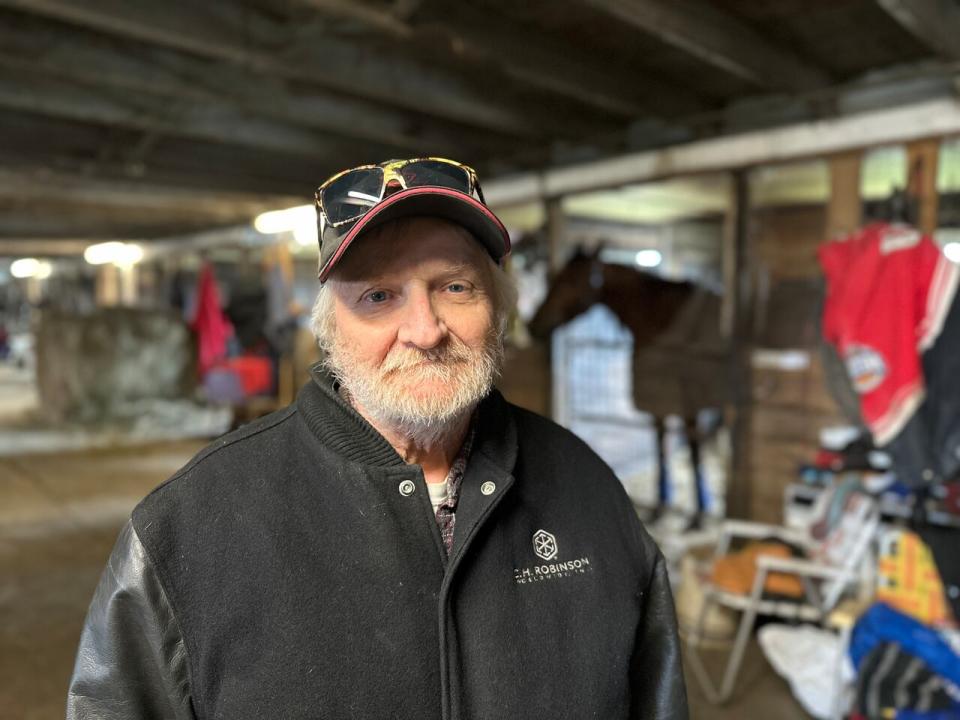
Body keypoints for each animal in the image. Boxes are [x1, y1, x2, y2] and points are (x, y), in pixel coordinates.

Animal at [524, 248, 728, 516]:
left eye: (568, 280)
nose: (533, 325)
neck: (660, 316)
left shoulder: (687, 399)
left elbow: (694, 449)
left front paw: (701, 510)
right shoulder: (657, 397)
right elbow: (660, 442)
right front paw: (662, 500)